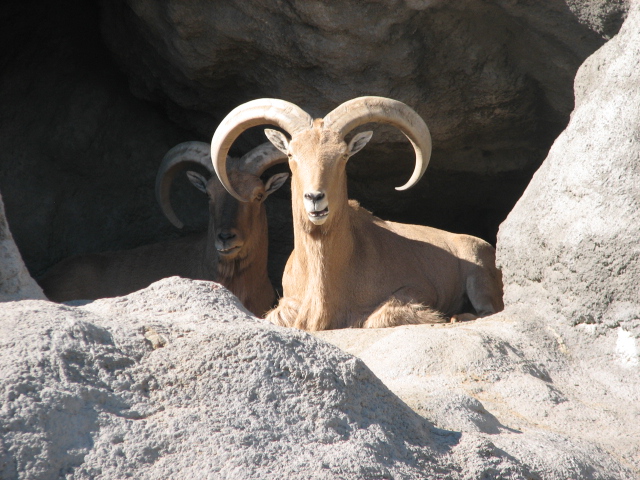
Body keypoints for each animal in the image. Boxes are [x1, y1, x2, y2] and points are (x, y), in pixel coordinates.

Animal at [209, 97, 504, 330]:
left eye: (343, 155)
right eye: (292, 154)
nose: (315, 199)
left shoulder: (418, 289)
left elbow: (380, 316)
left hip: (480, 277)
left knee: (489, 310)